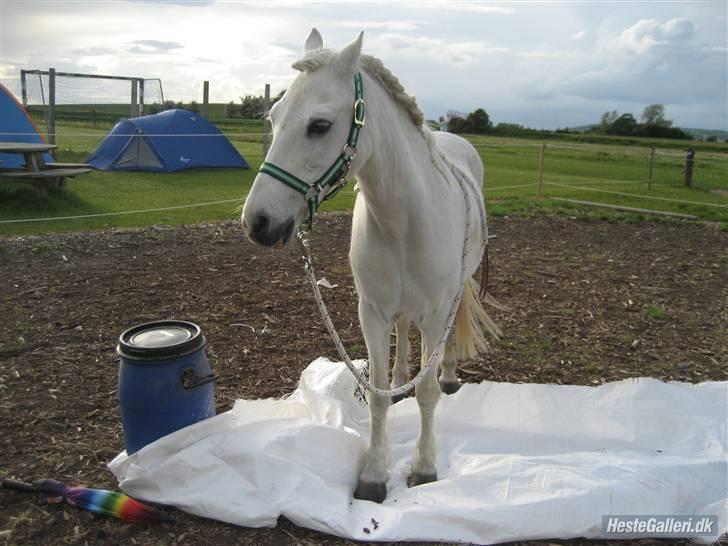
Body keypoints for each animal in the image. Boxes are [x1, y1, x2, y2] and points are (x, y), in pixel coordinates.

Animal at [242, 27, 498, 500]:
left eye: (319, 125)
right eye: (273, 117)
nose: (258, 222)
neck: (404, 222)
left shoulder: (437, 314)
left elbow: (428, 393)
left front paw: (424, 468)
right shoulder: (372, 313)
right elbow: (376, 394)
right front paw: (374, 476)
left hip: (453, 298)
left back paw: (450, 375)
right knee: (403, 332)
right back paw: (400, 380)